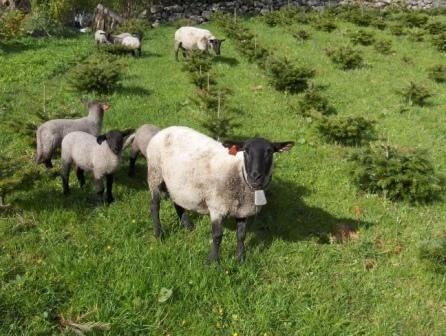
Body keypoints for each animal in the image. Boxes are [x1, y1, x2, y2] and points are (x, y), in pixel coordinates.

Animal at [145, 126, 294, 262]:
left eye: (270, 152)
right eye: (245, 151)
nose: (255, 177)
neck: (239, 173)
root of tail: (165, 129)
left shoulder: (242, 211)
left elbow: (241, 235)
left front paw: (240, 258)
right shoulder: (217, 207)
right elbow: (217, 236)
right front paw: (213, 261)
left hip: (176, 183)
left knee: (177, 201)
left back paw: (187, 225)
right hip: (155, 173)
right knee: (154, 205)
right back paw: (159, 234)